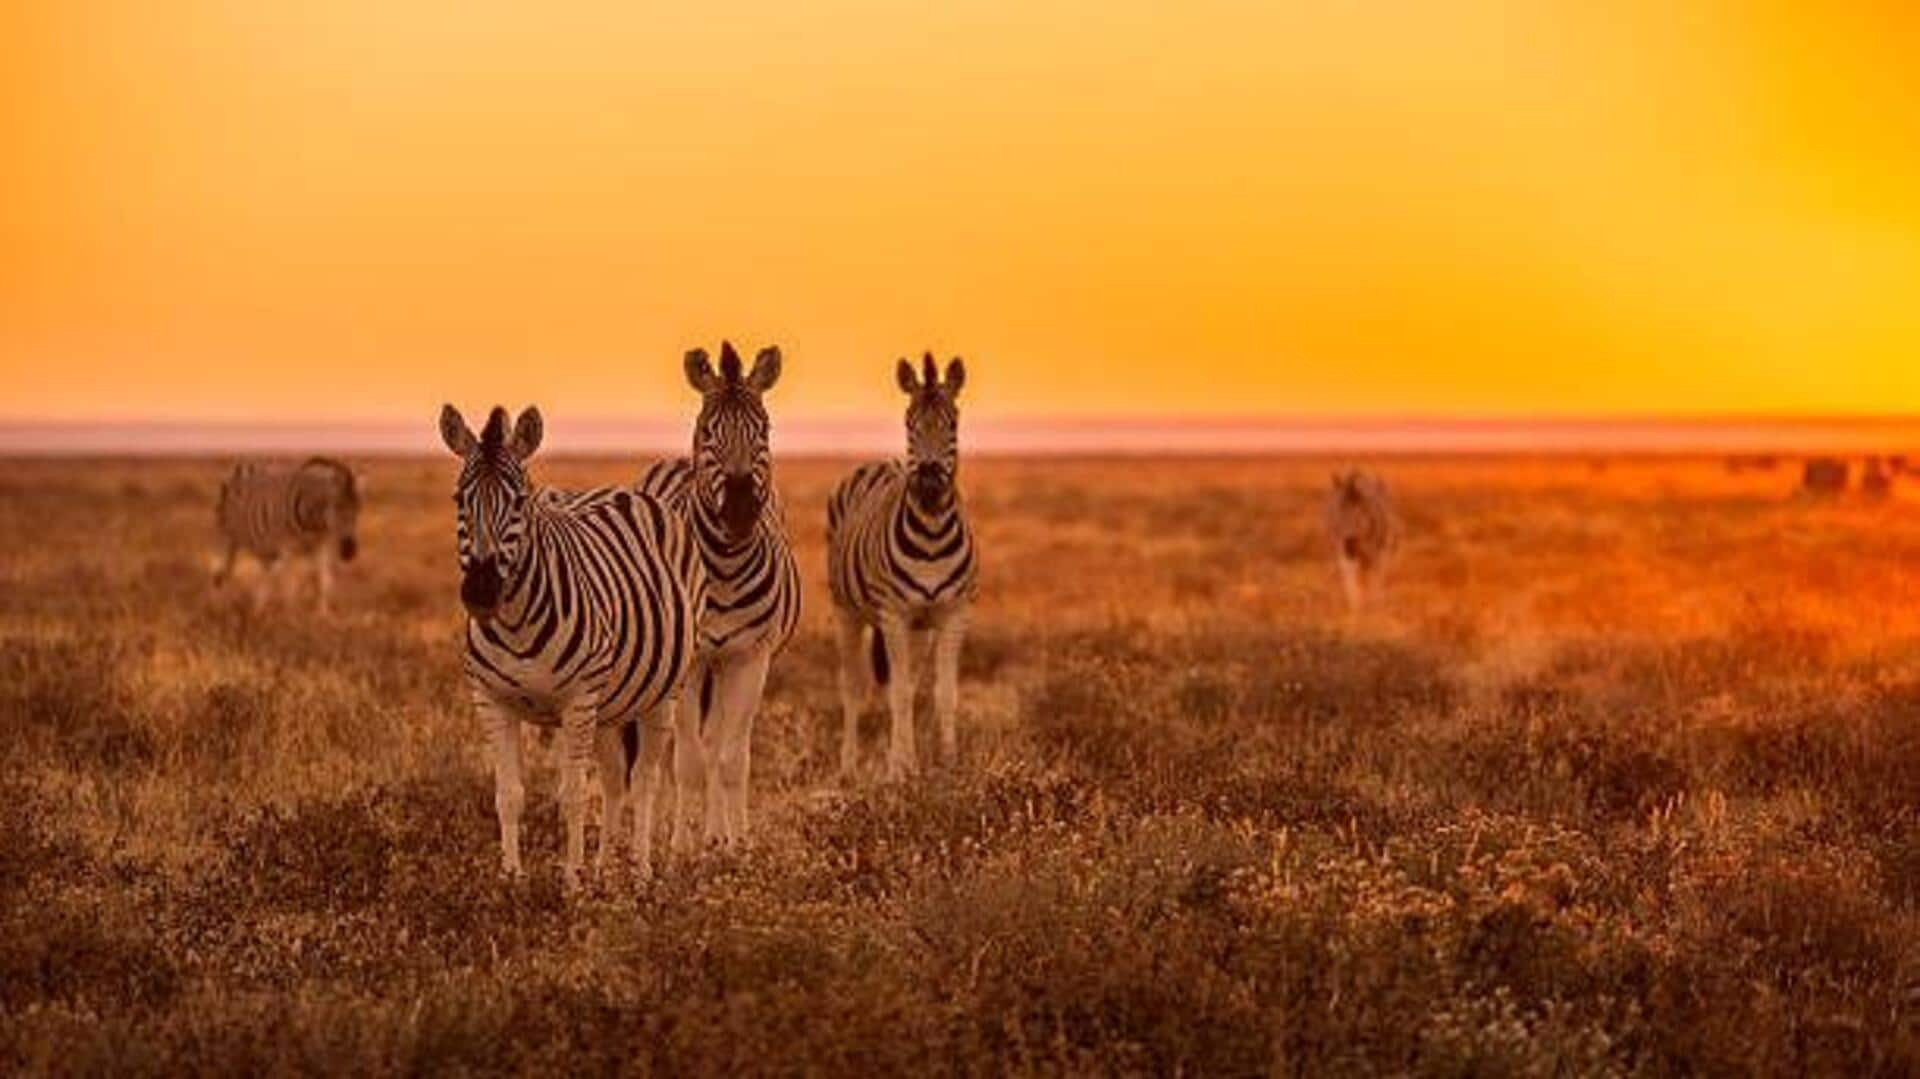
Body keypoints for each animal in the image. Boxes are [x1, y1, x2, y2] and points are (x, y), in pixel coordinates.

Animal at [215, 451, 362, 614]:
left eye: (359, 509)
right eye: (336, 506)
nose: (349, 551)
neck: (313, 524)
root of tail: (248, 462)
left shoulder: (319, 546)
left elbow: (322, 580)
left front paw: (322, 615)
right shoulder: (287, 548)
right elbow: (289, 584)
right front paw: (291, 614)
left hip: (263, 545)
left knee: (266, 572)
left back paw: (257, 607)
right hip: (230, 537)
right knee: (228, 568)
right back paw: (225, 603)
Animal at [437, 399, 706, 879]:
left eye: (519, 502)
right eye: (458, 500)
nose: (482, 592)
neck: (515, 624)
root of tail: (627, 492)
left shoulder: (578, 700)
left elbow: (574, 796)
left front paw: (571, 882)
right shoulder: (490, 700)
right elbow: (509, 795)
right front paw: (512, 879)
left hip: (663, 692)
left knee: (645, 780)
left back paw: (640, 871)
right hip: (611, 702)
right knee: (616, 778)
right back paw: (605, 871)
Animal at [637, 339, 802, 844]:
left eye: (764, 429)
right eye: (708, 431)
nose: (741, 510)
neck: (725, 567)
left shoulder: (751, 656)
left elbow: (730, 758)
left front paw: (737, 844)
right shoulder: (692, 662)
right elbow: (688, 760)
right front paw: (678, 848)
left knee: (721, 743)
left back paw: (717, 834)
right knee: (679, 749)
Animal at [825, 353, 975, 779]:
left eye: (952, 423)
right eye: (910, 423)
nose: (927, 478)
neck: (931, 536)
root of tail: (880, 462)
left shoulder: (953, 613)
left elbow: (942, 692)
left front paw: (947, 762)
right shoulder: (893, 614)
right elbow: (899, 696)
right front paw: (898, 770)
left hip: (919, 628)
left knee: (907, 682)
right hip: (846, 611)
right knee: (853, 687)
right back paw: (849, 767)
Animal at [1320, 464, 1397, 614]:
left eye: (1359, 513)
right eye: (1337, 512)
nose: (1349, 542)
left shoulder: (1375, 554)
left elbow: (1374, 582)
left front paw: (1373, 608)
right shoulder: (1344, 554)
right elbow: (1351, 584)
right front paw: (1355, 609)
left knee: (1376, 577)